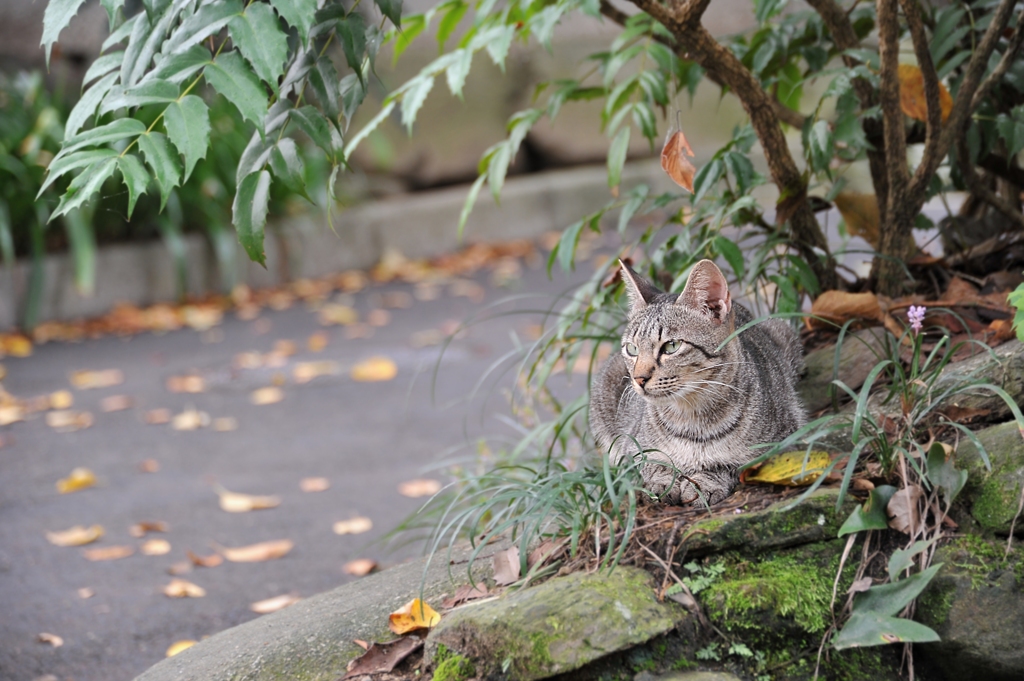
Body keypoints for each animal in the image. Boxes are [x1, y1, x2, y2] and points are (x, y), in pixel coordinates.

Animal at [589, 260, 802, 503]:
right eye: (632, 349)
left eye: (671, 346)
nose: (639, 378)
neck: (691, 419)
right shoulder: (630, 448)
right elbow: (650, 462)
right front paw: (663, 479)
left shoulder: (782, 444)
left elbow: (728, 464)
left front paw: (703, 482)